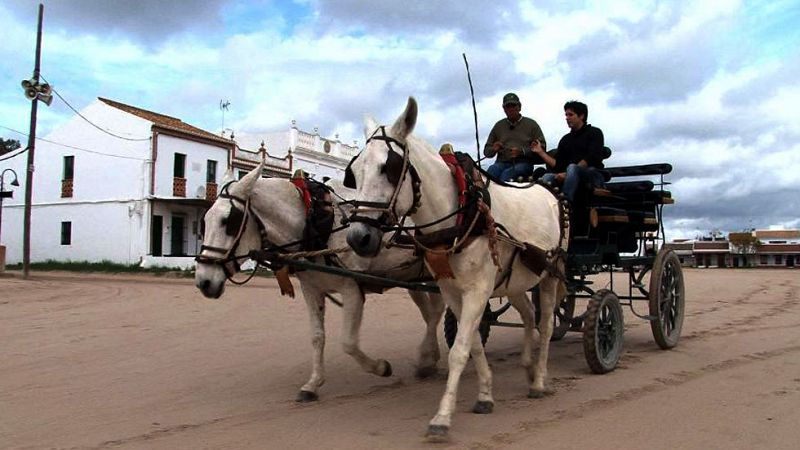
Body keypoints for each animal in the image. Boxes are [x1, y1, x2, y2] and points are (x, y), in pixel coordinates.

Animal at [194, 163, 444, 402]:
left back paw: (427, 357)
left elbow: (348, 343)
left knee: (435, 313)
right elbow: (317, 337)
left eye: (229, 221)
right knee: (430, 313)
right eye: (205, 221)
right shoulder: (312, 289)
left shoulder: (352, 289)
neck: (317, 224)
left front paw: (381, 367)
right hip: (413, 275)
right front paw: (312, 384)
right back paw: (430, 357)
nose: (203, 281)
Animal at [346, 97, 564, 440]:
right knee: (529, 315)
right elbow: (472, 343)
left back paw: (540, 379)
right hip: (514, 280)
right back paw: (528, 367)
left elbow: (460, 349)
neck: (460, 212)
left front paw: (442, 417)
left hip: (549, 274)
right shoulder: (452, 290)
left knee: (546, 324)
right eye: (354, 172)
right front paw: (485, 394)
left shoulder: (477, 290)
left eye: (388, 168)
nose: (358, 237)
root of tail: (547, 187)